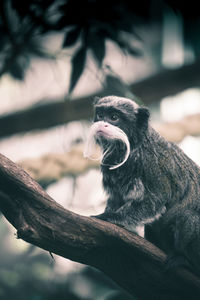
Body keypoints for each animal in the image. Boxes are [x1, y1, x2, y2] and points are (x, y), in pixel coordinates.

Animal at [84, 96, 200, 274]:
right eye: (100, 115)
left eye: (113, 117)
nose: (102, 124)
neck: (132, 146)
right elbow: (117, 199)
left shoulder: (151, 164)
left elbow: (154, 202)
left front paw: (109, 217)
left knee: (188, 217)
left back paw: (186, 260)